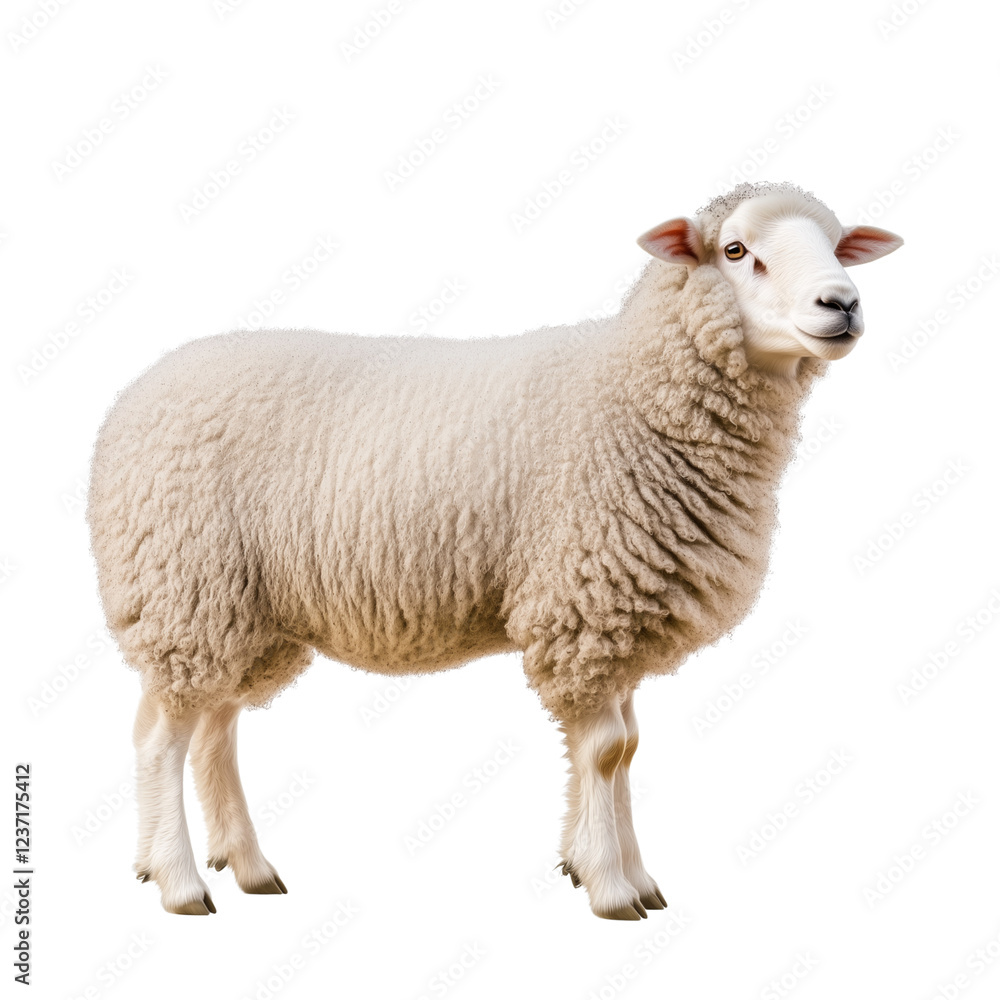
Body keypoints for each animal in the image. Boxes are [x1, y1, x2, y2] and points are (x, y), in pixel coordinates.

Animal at [86, 180, 902, 919]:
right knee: (161, 737)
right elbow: (607, 751)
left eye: (837, 245)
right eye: (736, 251)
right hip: (183, 588)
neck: (639, 394)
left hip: (240, 612)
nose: (842, 303)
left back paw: (245, 866)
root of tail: (132, 398)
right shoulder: (583, 607)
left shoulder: (617, 615)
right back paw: (178, 882)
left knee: (213, 731)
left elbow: (628, 748)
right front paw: (611, 888)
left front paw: (617, 872)